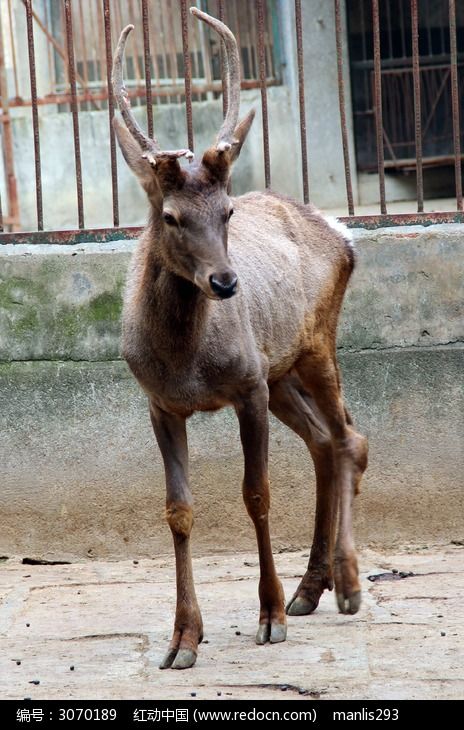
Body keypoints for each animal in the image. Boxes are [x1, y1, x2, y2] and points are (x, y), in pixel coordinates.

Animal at [111, 5, 366, 668]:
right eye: (170, 215)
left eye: (227, 210)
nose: (226, 282)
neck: (185, 363)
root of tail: (343, 231)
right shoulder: (160, 404)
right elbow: (178, 509)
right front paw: (182, 639)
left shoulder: (247, 385)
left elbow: (257, 494)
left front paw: (268, 616)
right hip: (281, 372)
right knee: (325, 442)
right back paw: (310, 588)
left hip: (315, 345)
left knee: (348, 438)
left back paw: (346, 584)